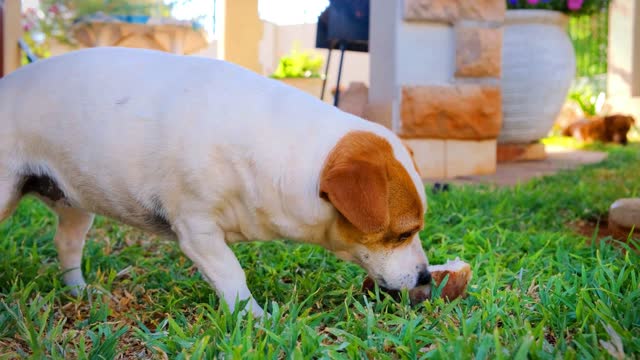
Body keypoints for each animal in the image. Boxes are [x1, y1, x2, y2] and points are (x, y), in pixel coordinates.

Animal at [0, 47, 432, 316]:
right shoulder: (198, 231)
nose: (427, 278)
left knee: (67, 246)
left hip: (75, 206)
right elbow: (232, 276)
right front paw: (256, 319)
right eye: (400, 234)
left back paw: (79, 290)